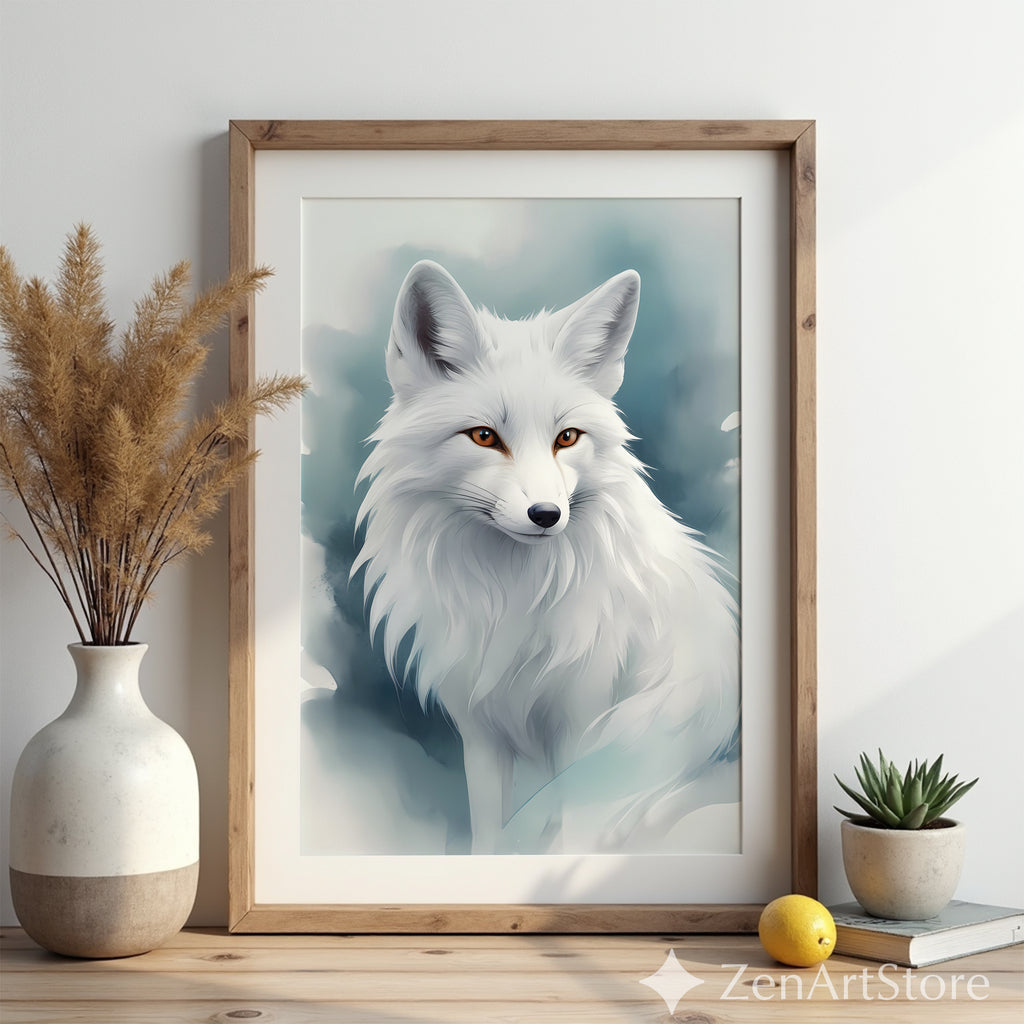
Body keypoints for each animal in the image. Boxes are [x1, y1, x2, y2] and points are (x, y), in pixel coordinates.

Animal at [352, 260, 739, 854]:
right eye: (484, 436)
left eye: (568, 437)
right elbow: (489, 835)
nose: (546, 515)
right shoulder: (479, 730)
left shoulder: (584, 726)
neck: (513, 597)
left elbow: (571, 836)